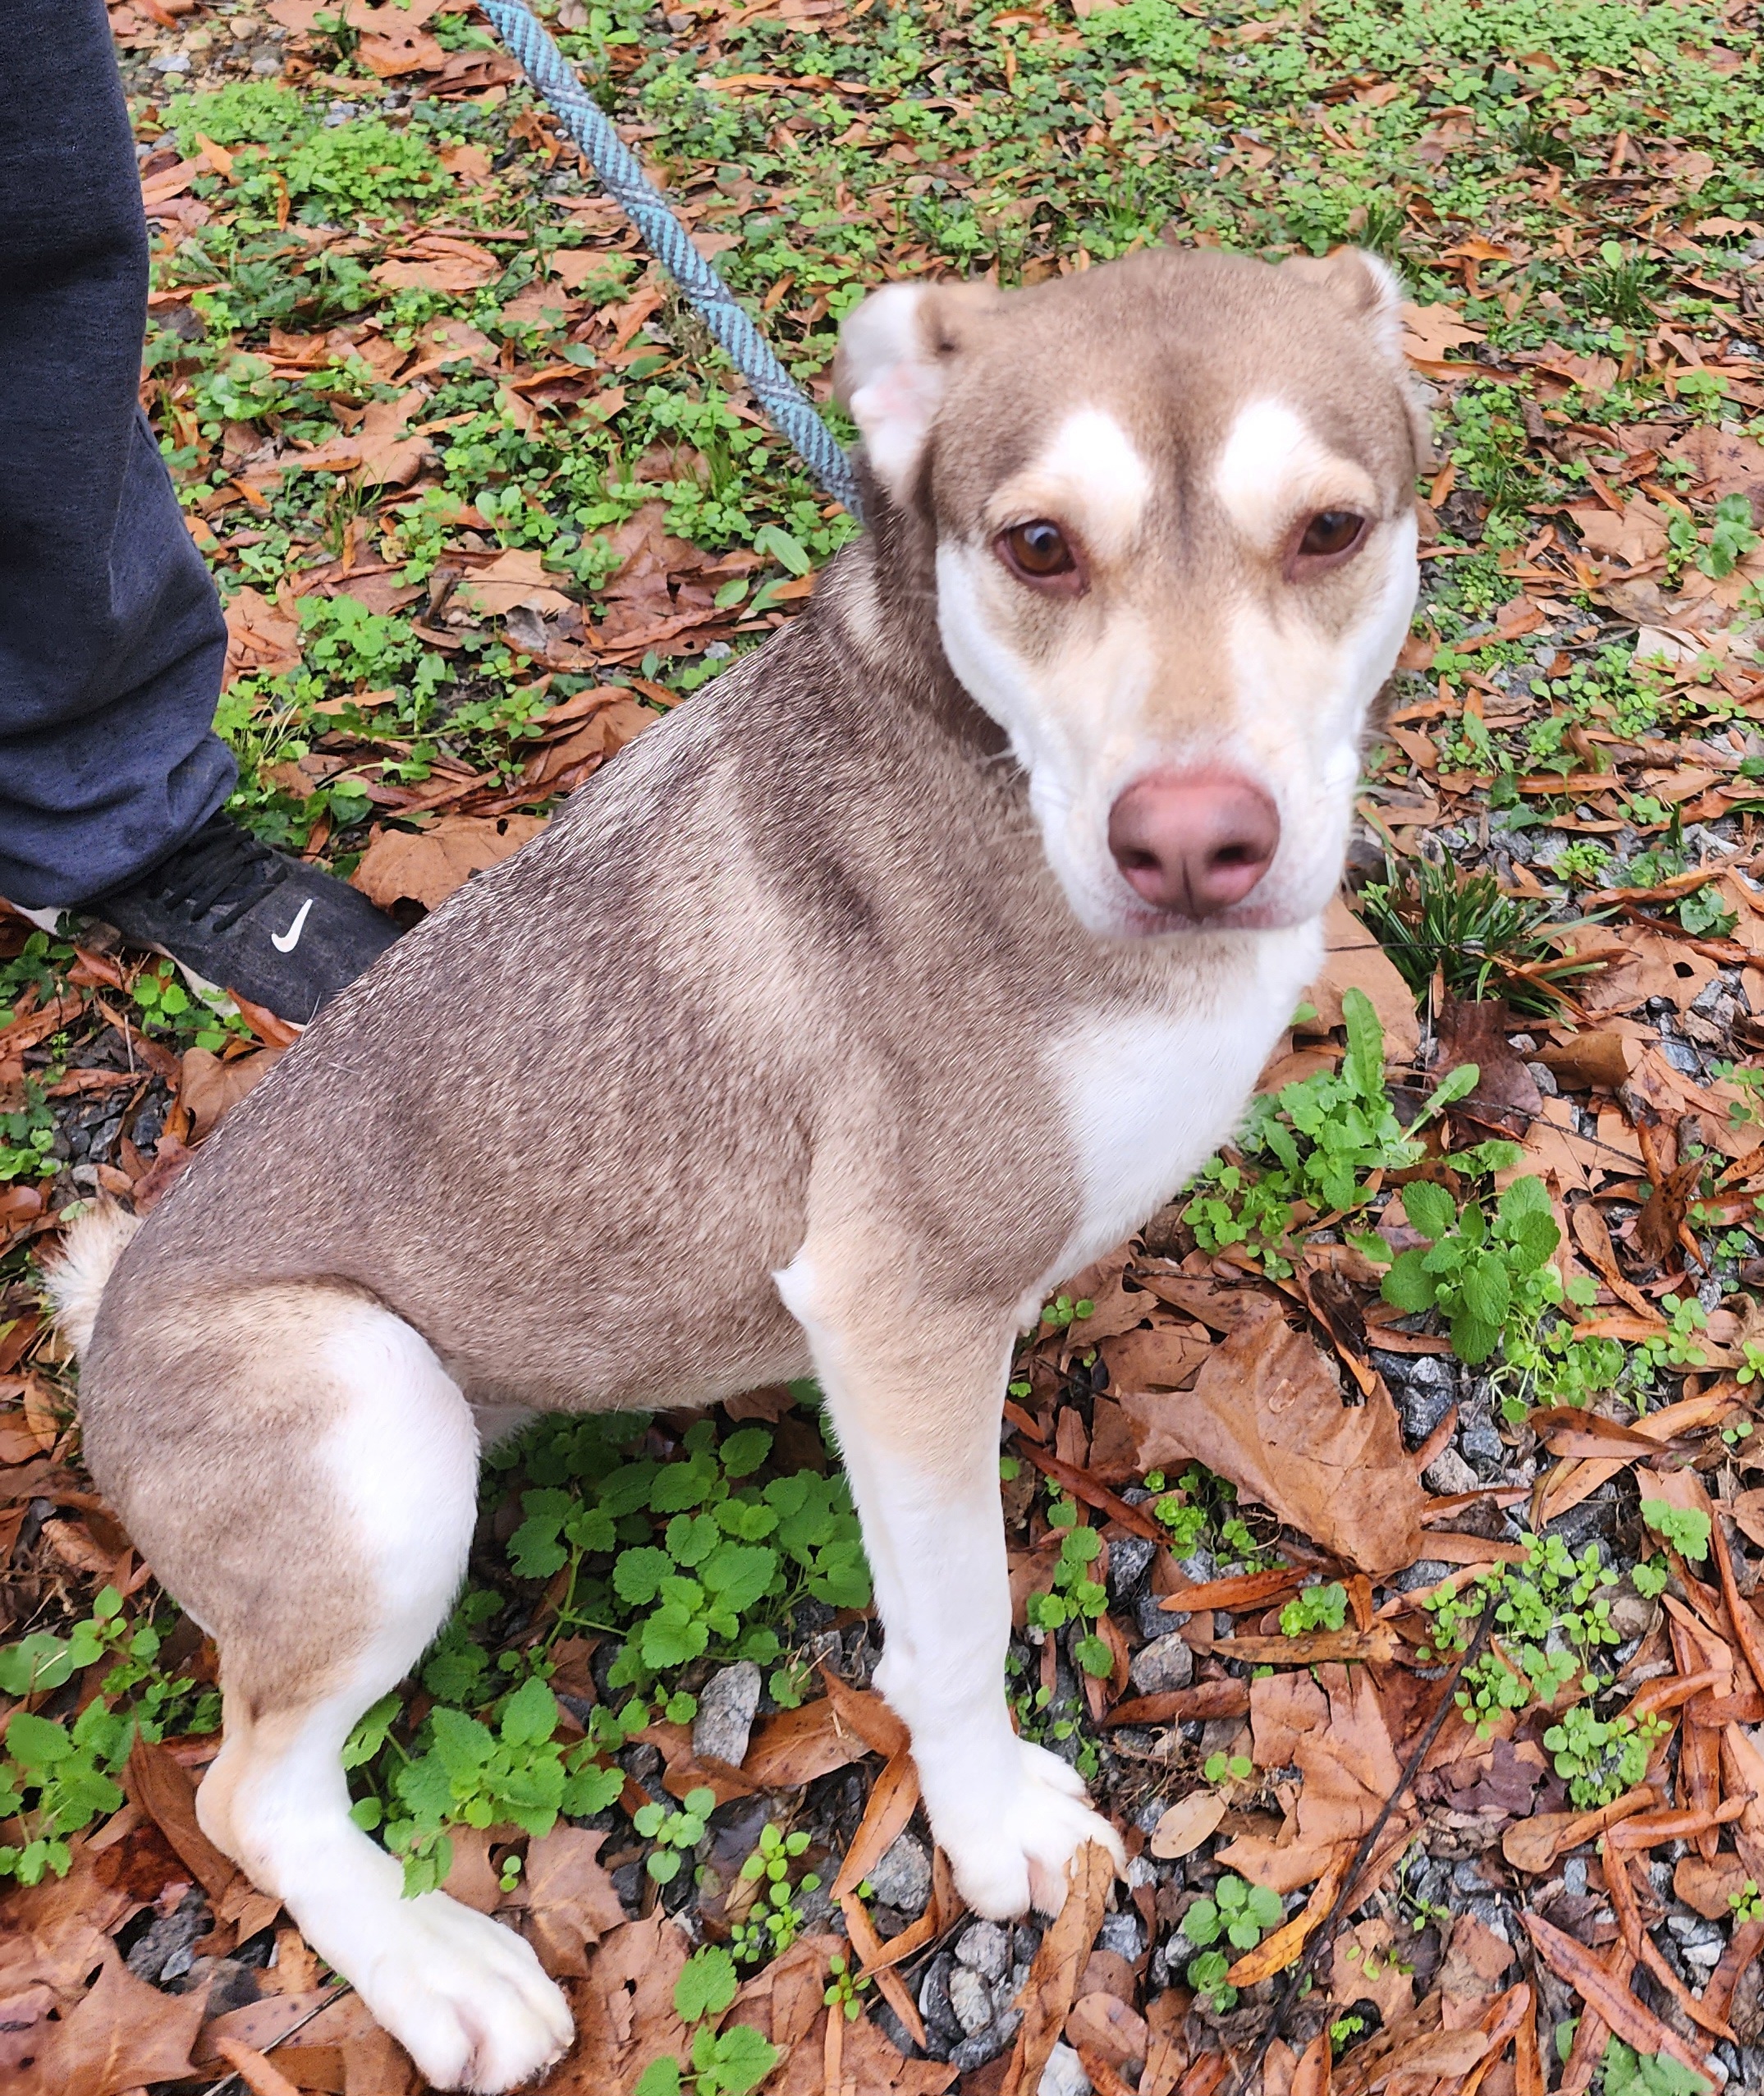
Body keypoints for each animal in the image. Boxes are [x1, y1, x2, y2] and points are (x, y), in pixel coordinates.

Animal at [54, 241, 1424, 2079]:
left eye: (1328, 529)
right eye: (1038, 545)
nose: (1193, 843)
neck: (993, 765)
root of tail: (106, 1311)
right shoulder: (896, 1312)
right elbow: (958, 1618)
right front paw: (987, 1824)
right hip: (374, 1419)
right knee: (248, 1795)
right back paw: (438, 1973)